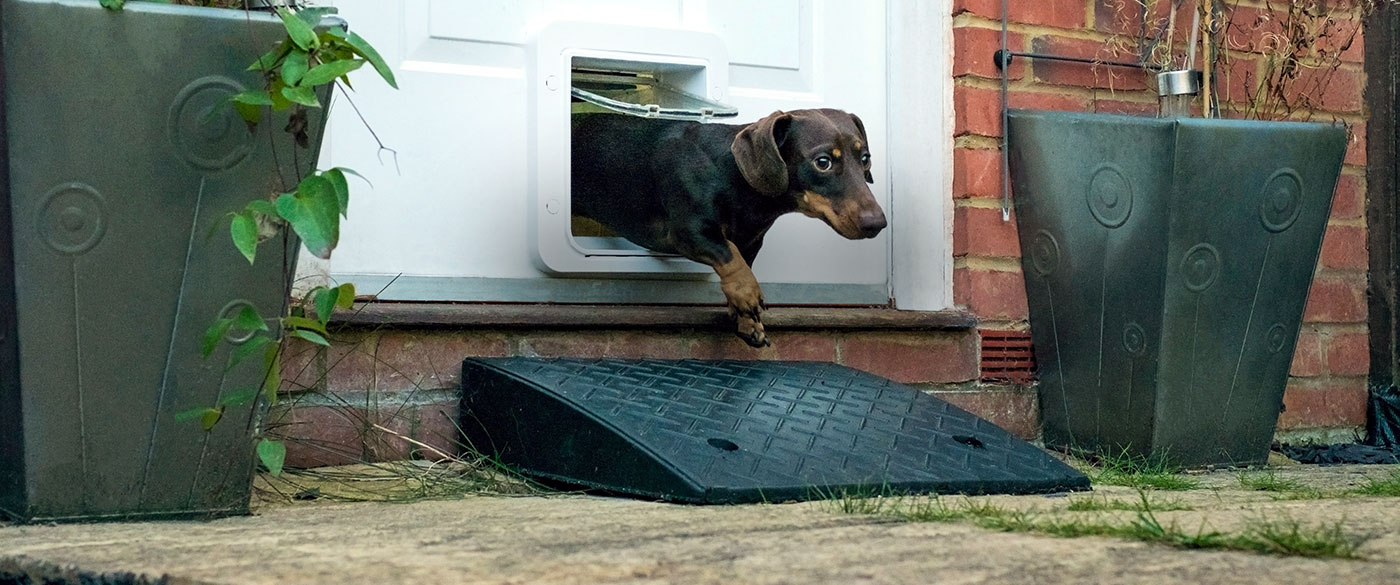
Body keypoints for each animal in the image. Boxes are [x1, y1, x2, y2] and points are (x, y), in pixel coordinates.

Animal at [568, 108, 884, 347]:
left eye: (865, 158)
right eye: (823, 162)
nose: (878, 223)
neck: (733, 178)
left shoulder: (752, 241)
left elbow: (742, 260)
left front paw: (747, 322)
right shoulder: (688, 233)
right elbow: (729, 255)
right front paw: (747, 295)